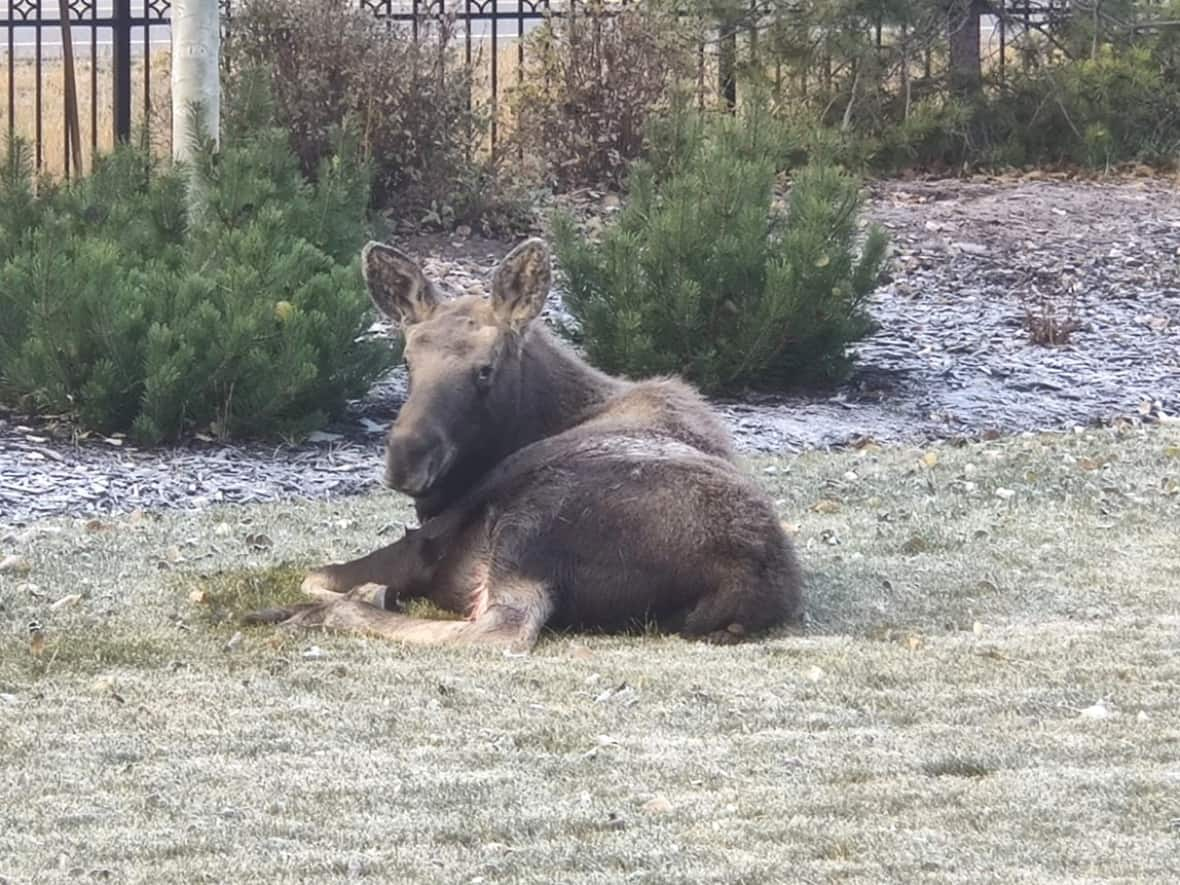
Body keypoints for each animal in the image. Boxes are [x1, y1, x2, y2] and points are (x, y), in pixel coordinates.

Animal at [246, 239, 802, 646]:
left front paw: (357, 592)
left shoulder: (430, 538)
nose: (406, 459)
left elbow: (317, 573)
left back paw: (324, 612)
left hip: (534, 521)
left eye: (485, 370)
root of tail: (746, 584)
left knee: (501, 629)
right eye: (406, 361)